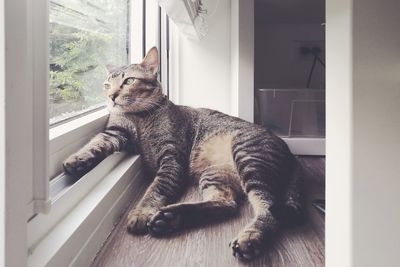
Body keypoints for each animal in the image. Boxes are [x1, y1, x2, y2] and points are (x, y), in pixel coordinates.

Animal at [64, 47, 304, 260]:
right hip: (214, 174)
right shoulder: (115, 132)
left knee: (269, 209)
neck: (139, 118)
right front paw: (76, 160)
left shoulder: (172, 157)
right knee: (227, 204)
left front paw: (141, 212)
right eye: (106, 84)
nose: (111, 96)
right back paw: (172, 217)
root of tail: (288, 150)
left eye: (128, 81)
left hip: (249, 158)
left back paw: (250, 238)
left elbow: (156, 189)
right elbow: (95, 143)